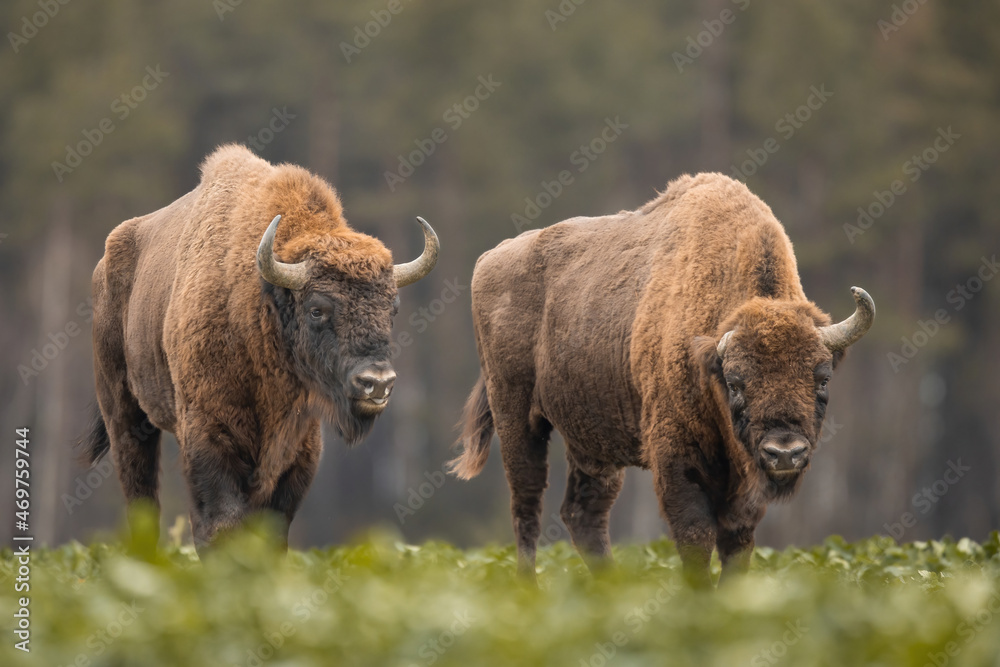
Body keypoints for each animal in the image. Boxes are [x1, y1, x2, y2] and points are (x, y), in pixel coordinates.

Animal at [81, 144, 439, 550]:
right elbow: (219, 522)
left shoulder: (299, 447)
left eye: (392, 308)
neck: (258, 305)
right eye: (317, 308)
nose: (377, 382)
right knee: (139, 491)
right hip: (124, 412)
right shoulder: (208, 432)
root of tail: (104, 264)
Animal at [450, 173, 874, 585]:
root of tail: (490, 258)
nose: (784, 451)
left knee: (582, 513)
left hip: (590, 441)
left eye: (822, 380)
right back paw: (528, 589)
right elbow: (695, 535)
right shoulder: (676, 458)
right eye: (736, 382)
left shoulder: (743, 486)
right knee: (527, 501)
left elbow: (737, 542)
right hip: (516, 416)